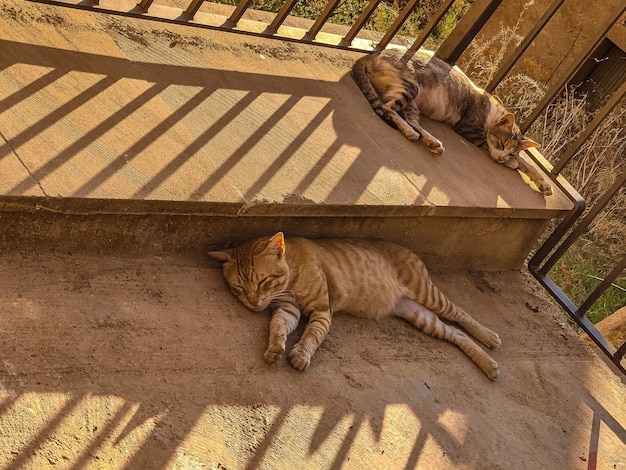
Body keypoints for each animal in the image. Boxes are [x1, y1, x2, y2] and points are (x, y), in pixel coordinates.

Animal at [207, 233, 500, 380]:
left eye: (263, 281)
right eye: (238, 288)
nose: (254, 302)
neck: (292, 276)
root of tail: (407, 248)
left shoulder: (322, 312)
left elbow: (312, 337)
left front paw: (301, 354)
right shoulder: (287, 310)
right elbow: (278, 327)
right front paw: (276, 346)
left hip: (427, 293)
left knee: (460, 316)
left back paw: (489, 337)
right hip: (418, 314)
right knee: (455, 333)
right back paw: (488, 365)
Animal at [352, 50, 552, 197]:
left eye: (510, 151)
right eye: (501, 144)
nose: (503, 158)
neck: (494, 112)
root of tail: (374, 55)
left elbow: (526, 162)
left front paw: (541, 182)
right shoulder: (469, 130)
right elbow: (503, 153)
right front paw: (514, 164)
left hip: (413, 104)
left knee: (411, 119)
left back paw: (431, 141)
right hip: (410, 87)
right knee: (387, 107)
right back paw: (411, 133)